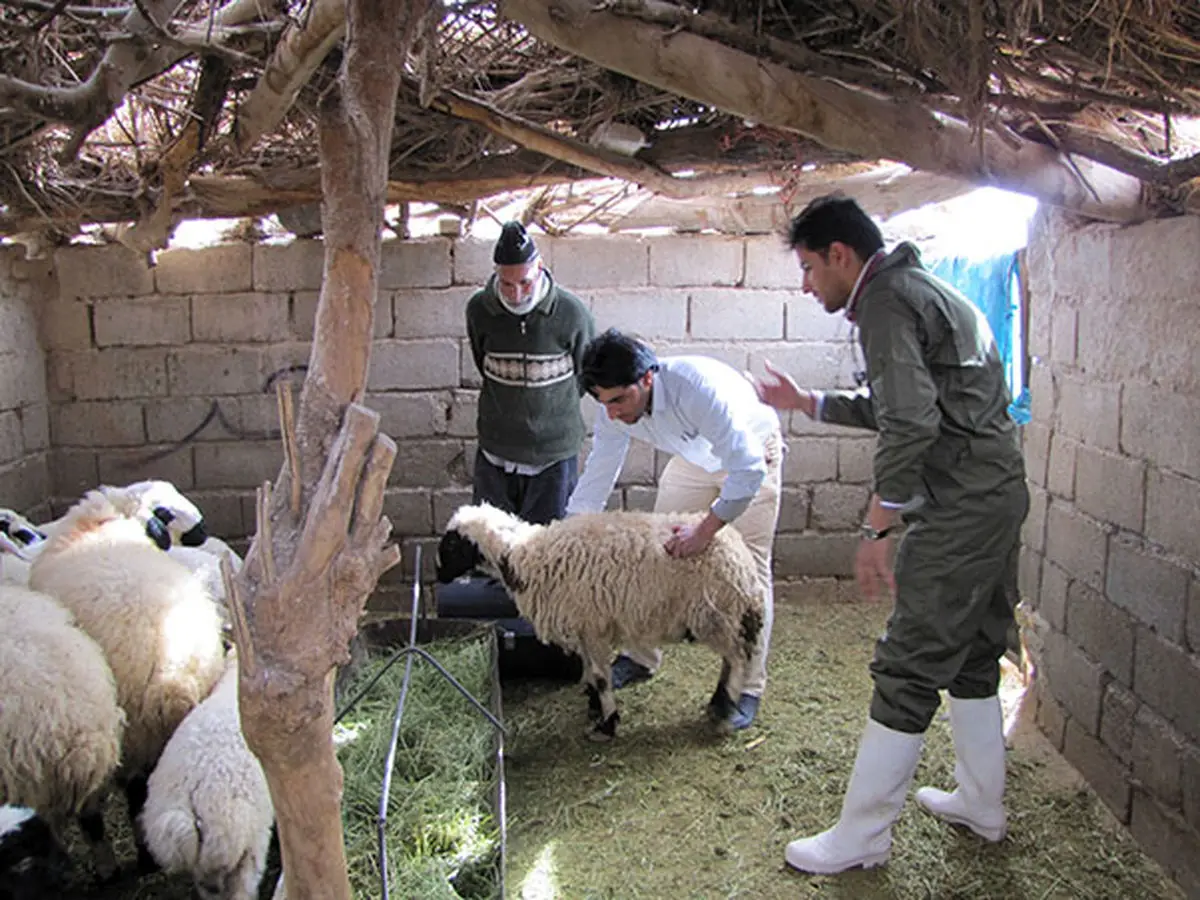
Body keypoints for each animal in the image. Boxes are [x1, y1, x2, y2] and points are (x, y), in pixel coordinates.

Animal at [26, 487, 225, 873]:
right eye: (166, 512)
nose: (205, 529)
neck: (105, 521)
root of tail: (173, 680)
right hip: (152, 733)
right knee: (140, 796)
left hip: (112, 734)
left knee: (101, 805)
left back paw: (113, 865)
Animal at [436, 504, 763, 744]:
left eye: (451, 545)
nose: (437, 576)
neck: (525, 556)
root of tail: (738, 549)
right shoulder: (583, 628)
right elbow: (590, 672)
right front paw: (595, 707)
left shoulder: (593, 625)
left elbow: (602, 676)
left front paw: (607, 723)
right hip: (723, 617)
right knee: (730, 659)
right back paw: (717, 704)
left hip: (716, 614)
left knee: (737, 659)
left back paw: (724, 712)